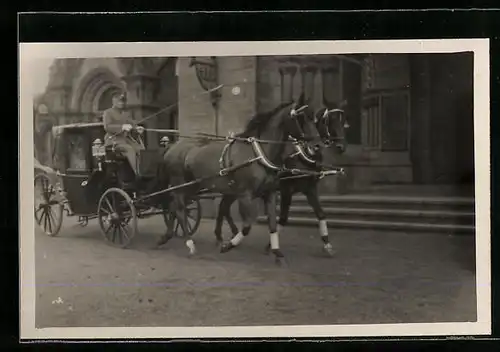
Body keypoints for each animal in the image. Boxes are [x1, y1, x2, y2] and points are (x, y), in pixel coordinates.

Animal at [154, 93, 322, 264]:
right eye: (300, 117)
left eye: (314, 118)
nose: (317, 145)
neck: (258, 154)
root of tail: (172, 147)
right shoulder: (245, 196)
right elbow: (247, 226)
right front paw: (228, 245)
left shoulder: (270, 193)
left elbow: (273, 224)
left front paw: (277, 252)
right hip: (180, 184)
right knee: (180, 209)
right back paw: (189, 244)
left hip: (192, 186)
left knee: (174, 207)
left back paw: (167, 236)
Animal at [213, 97, 350, 258]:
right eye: (329, 119)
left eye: (343, 120)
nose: (341, 146)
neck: (301, 154)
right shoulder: (286, 190)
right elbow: (283, 219)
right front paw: (270, 245)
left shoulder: (309, 188)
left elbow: (321, 214)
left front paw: (327, 244)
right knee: (224, 206)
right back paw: (224, 237)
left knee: (223, 206)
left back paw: (227, 235)